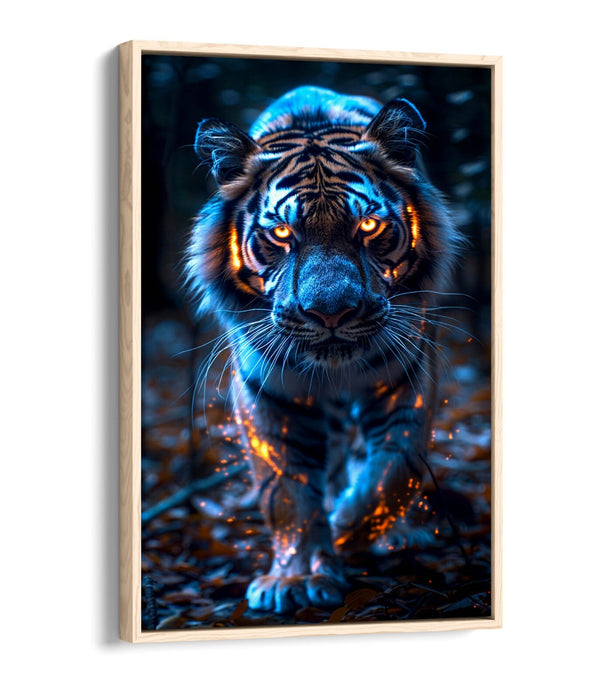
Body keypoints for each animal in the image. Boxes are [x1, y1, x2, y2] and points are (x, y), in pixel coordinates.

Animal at [186, 86, 462, 614]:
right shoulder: (268, 391)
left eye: (370, 227)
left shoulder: (408, 372)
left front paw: (350, 526)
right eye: (281, 234)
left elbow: (395, 469)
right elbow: (286, 490)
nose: (331, 313)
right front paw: (297, 578)